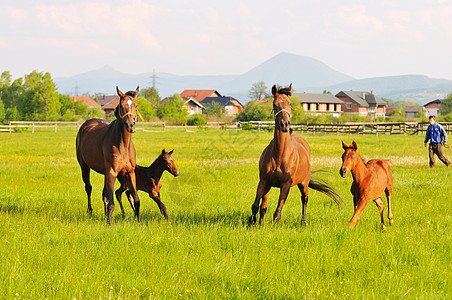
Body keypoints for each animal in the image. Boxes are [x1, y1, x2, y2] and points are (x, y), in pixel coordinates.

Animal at [76, 85, 140, 224]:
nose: (130, 125)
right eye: (121, 105)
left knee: (104, 194)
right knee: (89, 188)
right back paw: (90, 212)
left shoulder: (130, 173)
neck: (123, 145)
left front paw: (138, 221)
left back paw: (105, 215)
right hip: (85, 167)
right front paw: (109, 223)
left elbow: (136, 200)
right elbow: (111, 202)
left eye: (136, 105)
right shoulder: (112, 172)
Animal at [249, 84, 340, 225]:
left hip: (304, 184)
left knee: (304, 199)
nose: (285, 124)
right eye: (274, 104)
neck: (279, 154)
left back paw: (303, 221)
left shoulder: (285, 185)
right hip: (269, 186)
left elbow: (277, 212)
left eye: (290, 103)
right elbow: (255, 206)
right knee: (264, 205)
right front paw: (253, 223)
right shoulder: (264, 181)